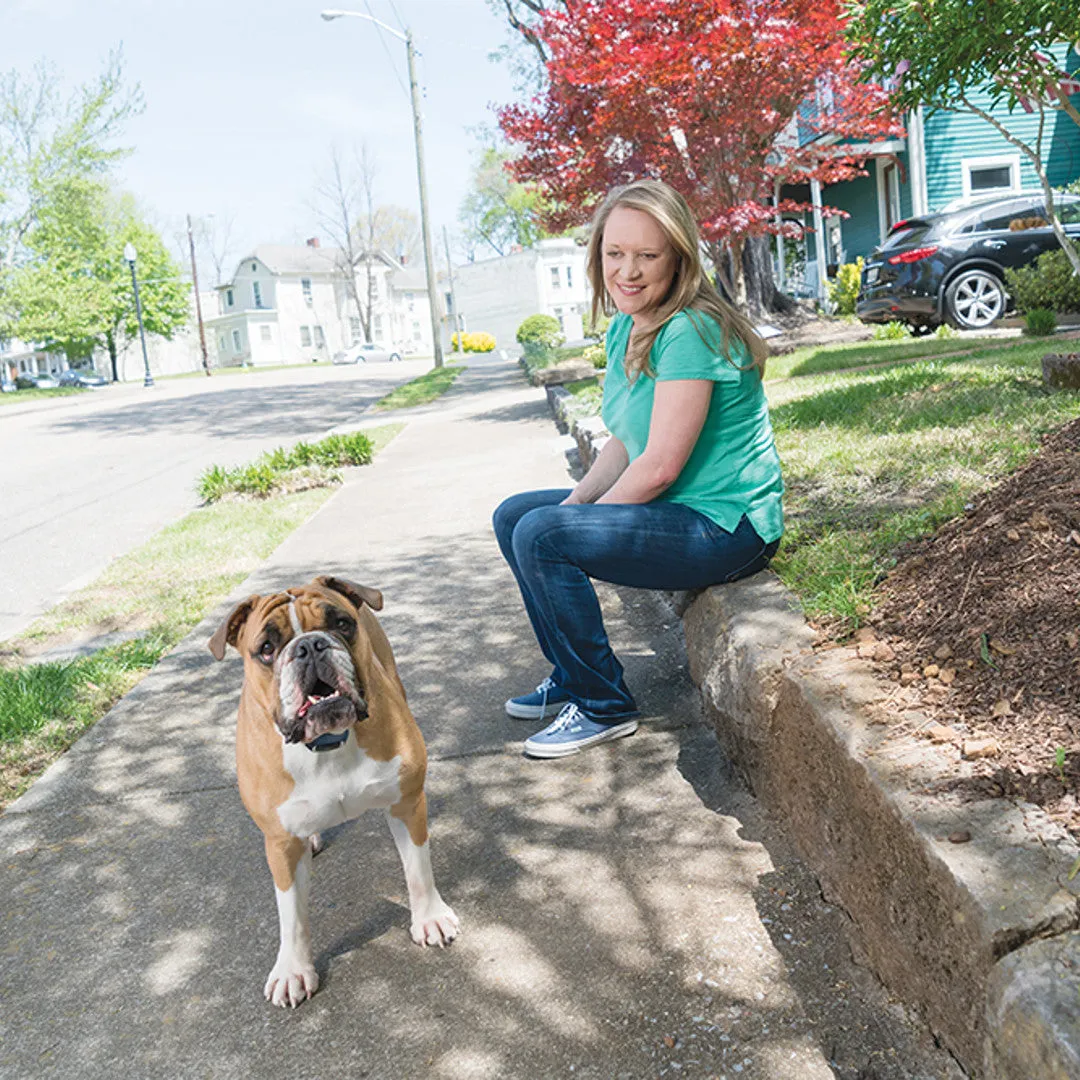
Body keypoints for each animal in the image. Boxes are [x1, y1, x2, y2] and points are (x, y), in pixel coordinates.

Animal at [208, 578, 457, 1006]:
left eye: (341, 624)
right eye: (267, 648)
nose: (310, 646)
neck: (327, 741)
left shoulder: (405, 804)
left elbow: (418, 870)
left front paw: (430, 918)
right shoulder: (280, 844)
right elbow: (291, 914)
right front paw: (293, 968)